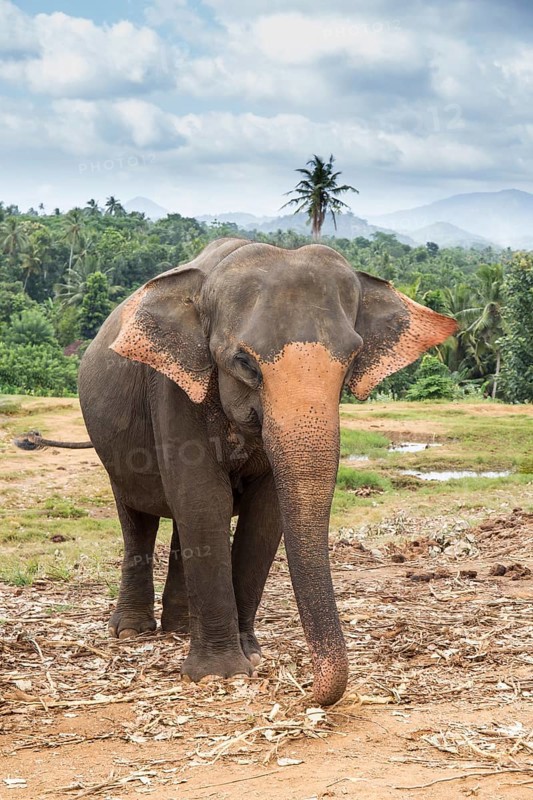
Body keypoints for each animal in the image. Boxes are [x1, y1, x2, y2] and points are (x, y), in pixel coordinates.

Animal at [50, 239, 459, 705]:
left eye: (353, 359)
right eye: (244, 361)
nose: (309, 691)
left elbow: (262, 512)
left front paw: (253, 656)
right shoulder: (172, 389)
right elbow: (204, 497)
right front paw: (219, 675)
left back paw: (179, 628)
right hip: (112, 448)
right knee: (138, 517)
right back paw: (131, 632)